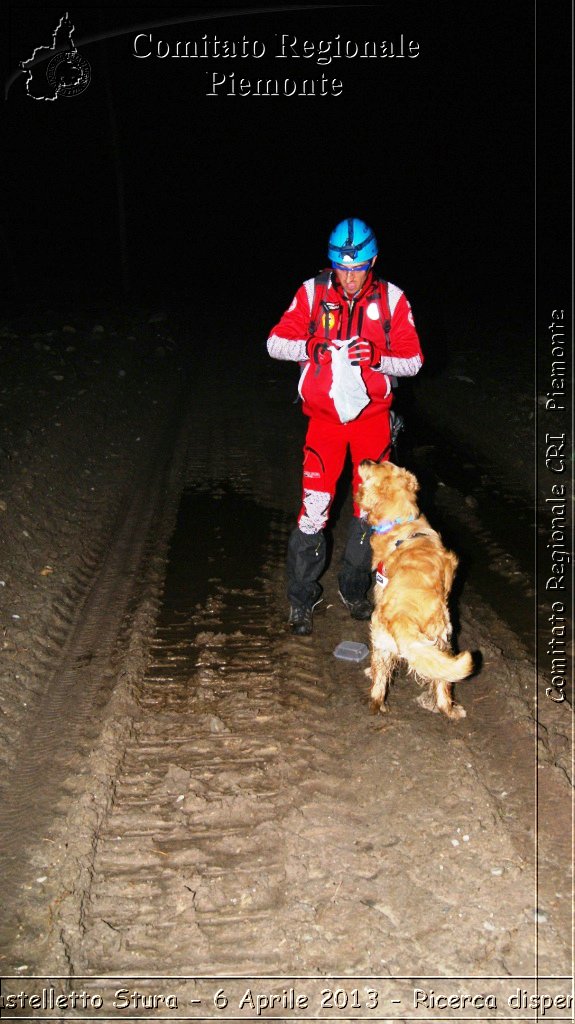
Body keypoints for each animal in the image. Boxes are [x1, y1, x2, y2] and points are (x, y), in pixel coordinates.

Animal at [356, 460, 472, 716]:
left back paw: (376, 702)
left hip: (383, 641)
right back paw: (450, 710)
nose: (365, 461)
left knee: (379, 683)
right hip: (442, 640)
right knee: (442, 684)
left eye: (378, 464)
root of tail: (403, 618)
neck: (402, 523)